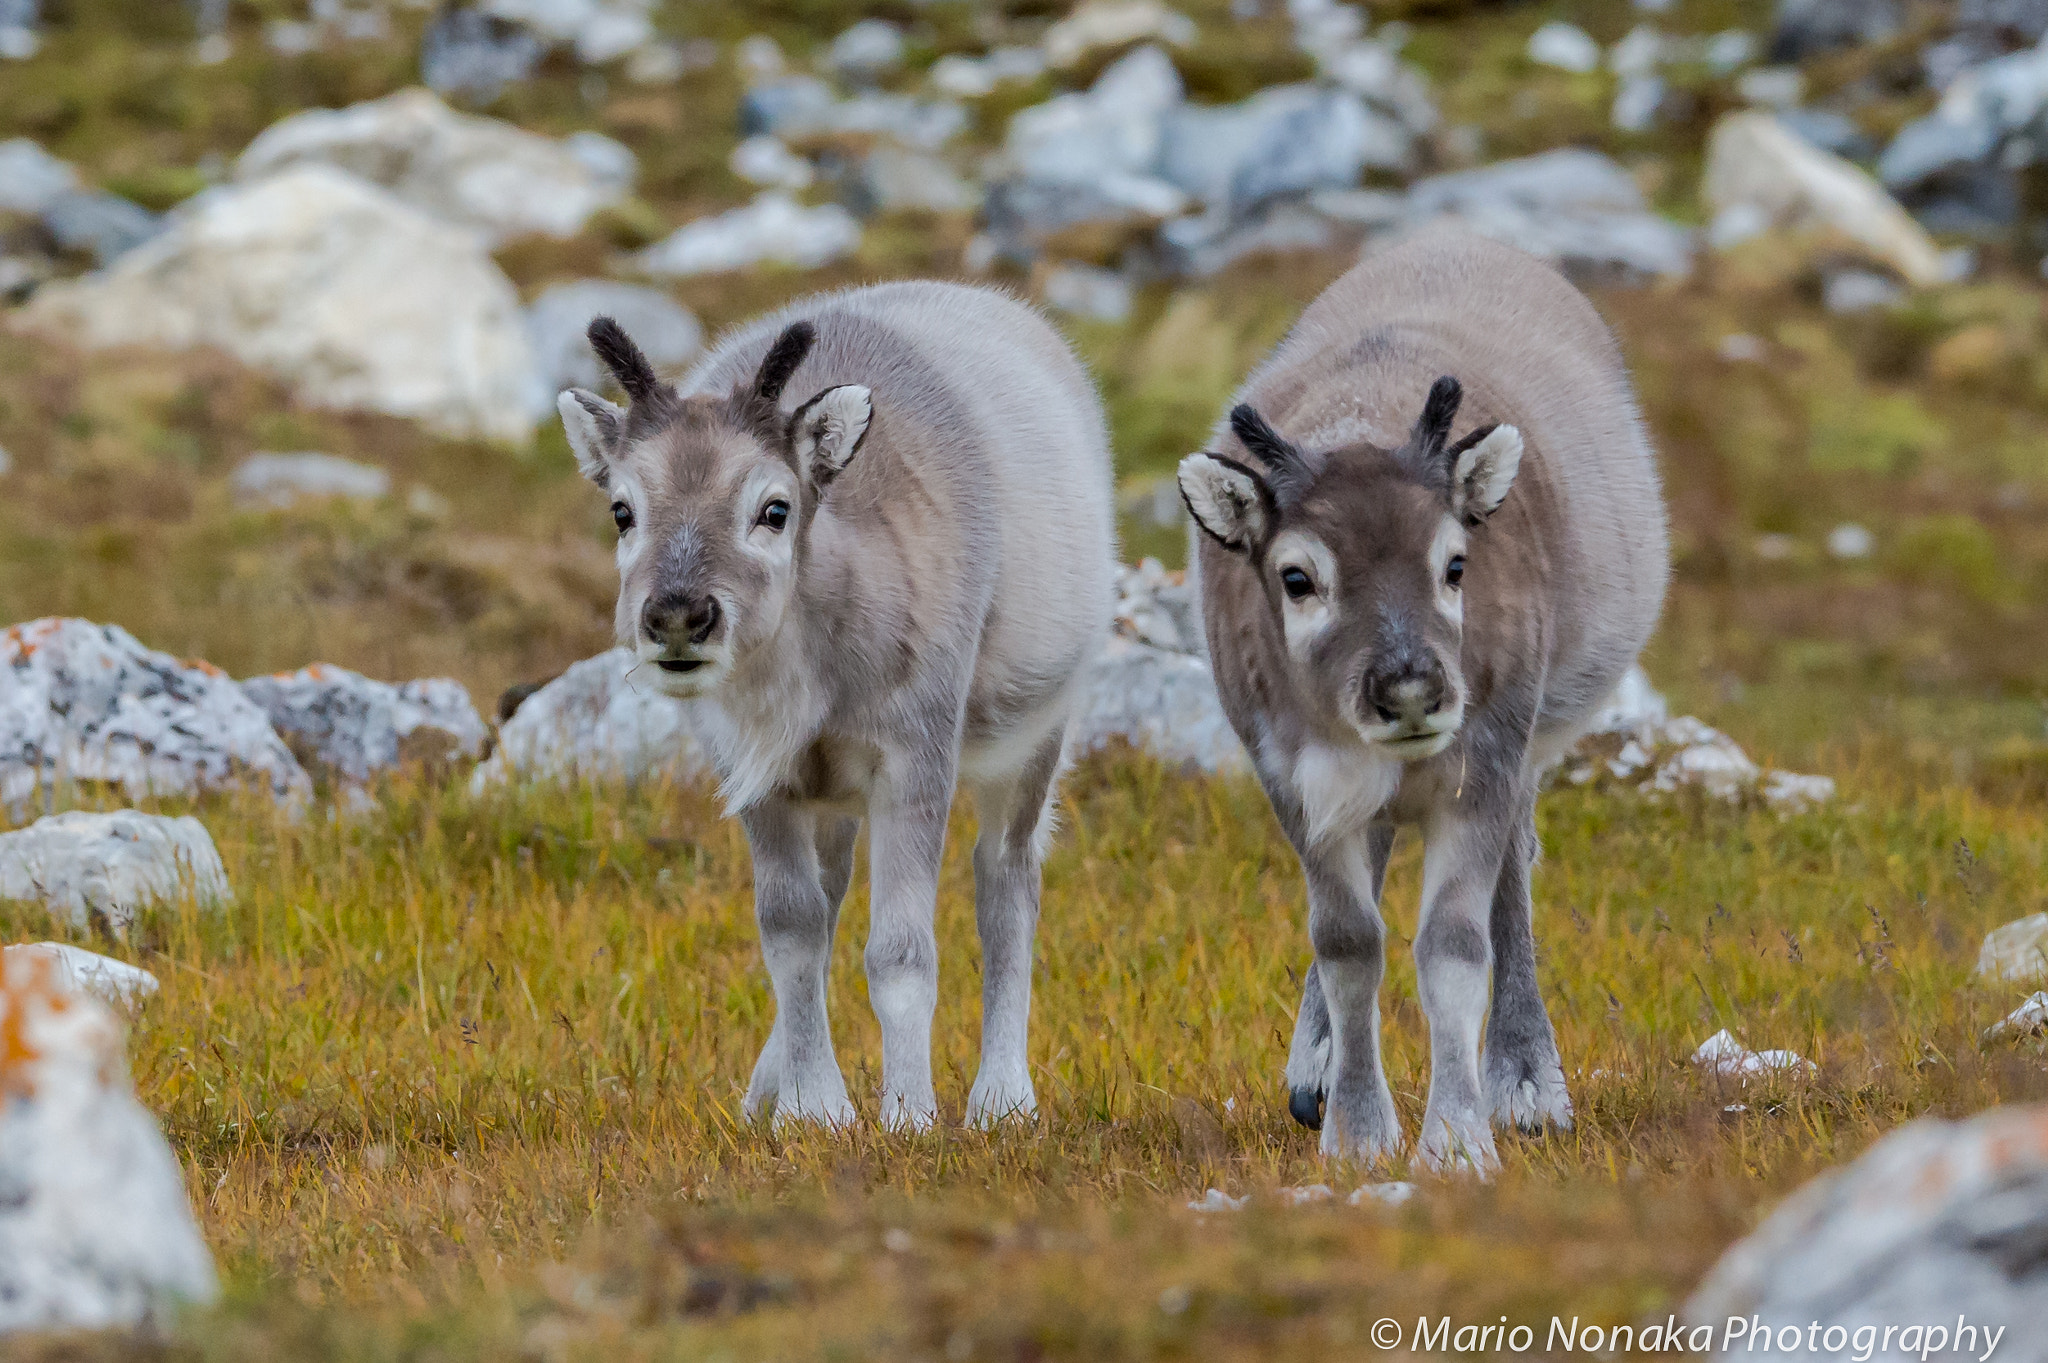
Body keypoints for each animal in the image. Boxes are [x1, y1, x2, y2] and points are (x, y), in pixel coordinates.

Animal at [557, 280, 1117, 1132]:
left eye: (774, 507)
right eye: (622, 509)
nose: (680, 616)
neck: (818, 680)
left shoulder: (917, 753)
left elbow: (900, 949)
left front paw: (910, 1112)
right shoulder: (757, 771)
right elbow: (792, 931)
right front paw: (811, 1106)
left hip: (1035, 736)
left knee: (1007, 879)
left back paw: (1002, 1097)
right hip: (834, 796)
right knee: (830, 896)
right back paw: (765, 1085)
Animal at [1177, 229, 1668, 1173]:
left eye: (1455, 563)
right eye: (1297, 577)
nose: (1410, 691)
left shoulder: (1489, 757)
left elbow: (1452, 945)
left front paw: (1458, 1139)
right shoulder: (1291, 774)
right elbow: (1347, 940)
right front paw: (1357, 1131)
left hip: (1528, 741)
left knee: (1514, 875)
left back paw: (1527, 1081)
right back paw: (1313, 1067)